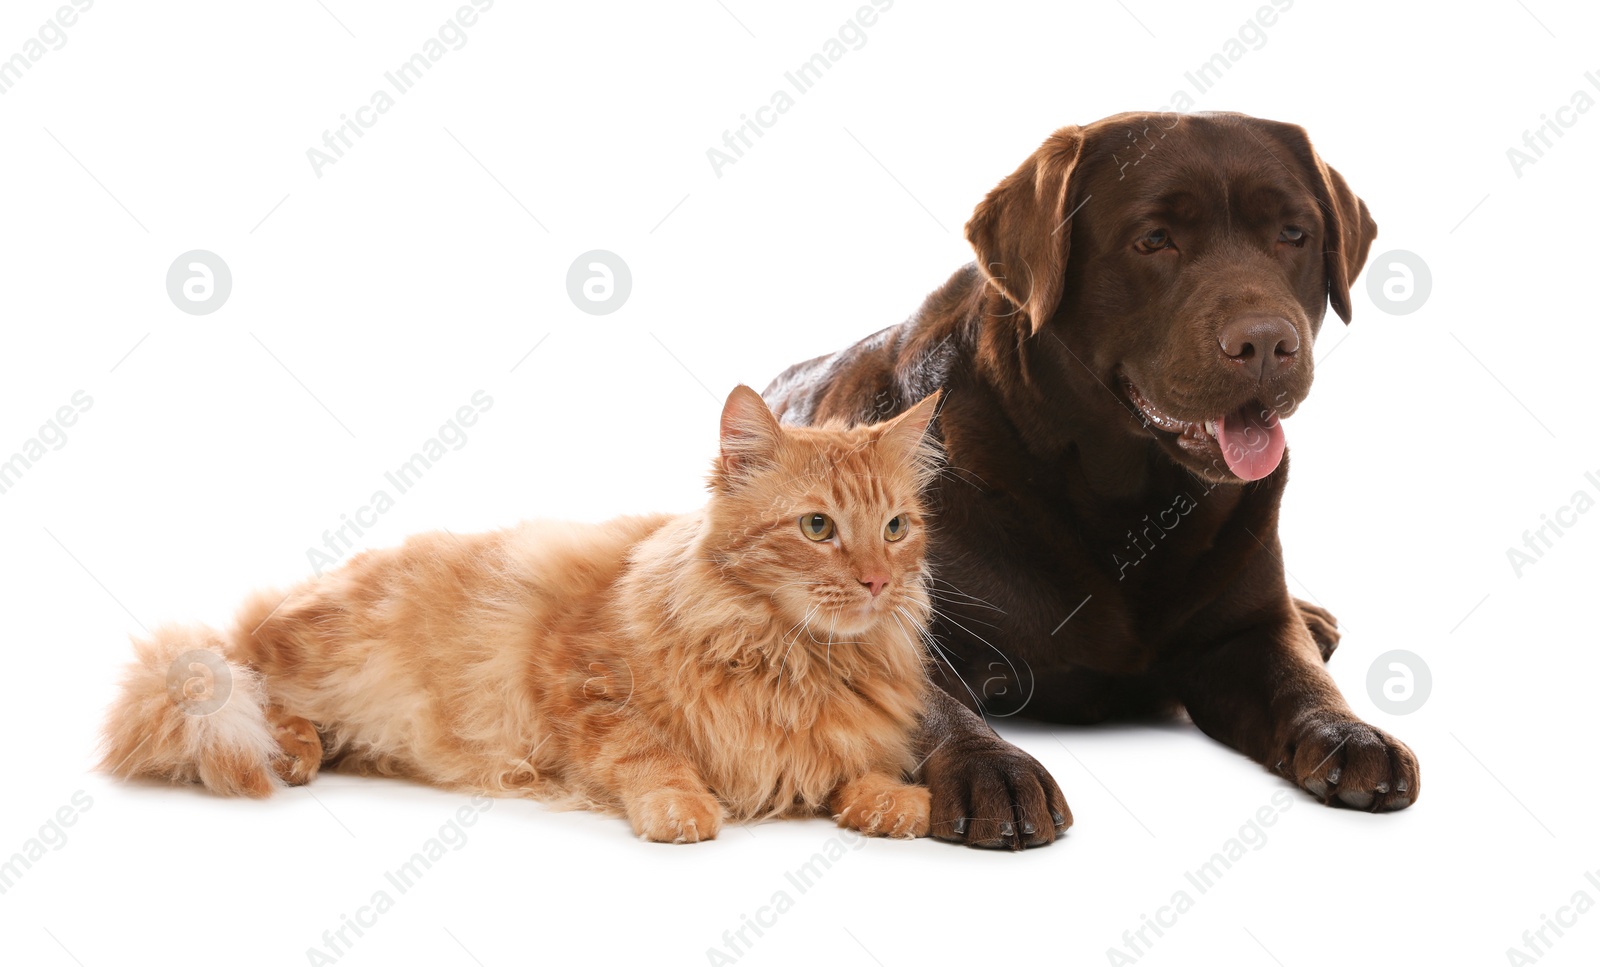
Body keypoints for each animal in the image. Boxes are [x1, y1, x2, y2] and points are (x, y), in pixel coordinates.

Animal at [100, 385, 940, 838]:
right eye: (818, 526)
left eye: (897, 527)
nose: (876, 581)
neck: (792, 659)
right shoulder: (576, 674)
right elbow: (648, 752)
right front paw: (680, 805)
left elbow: (860, 771)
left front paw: (893, 801)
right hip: (309, 651)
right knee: (251, 684)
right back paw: (290, 748)